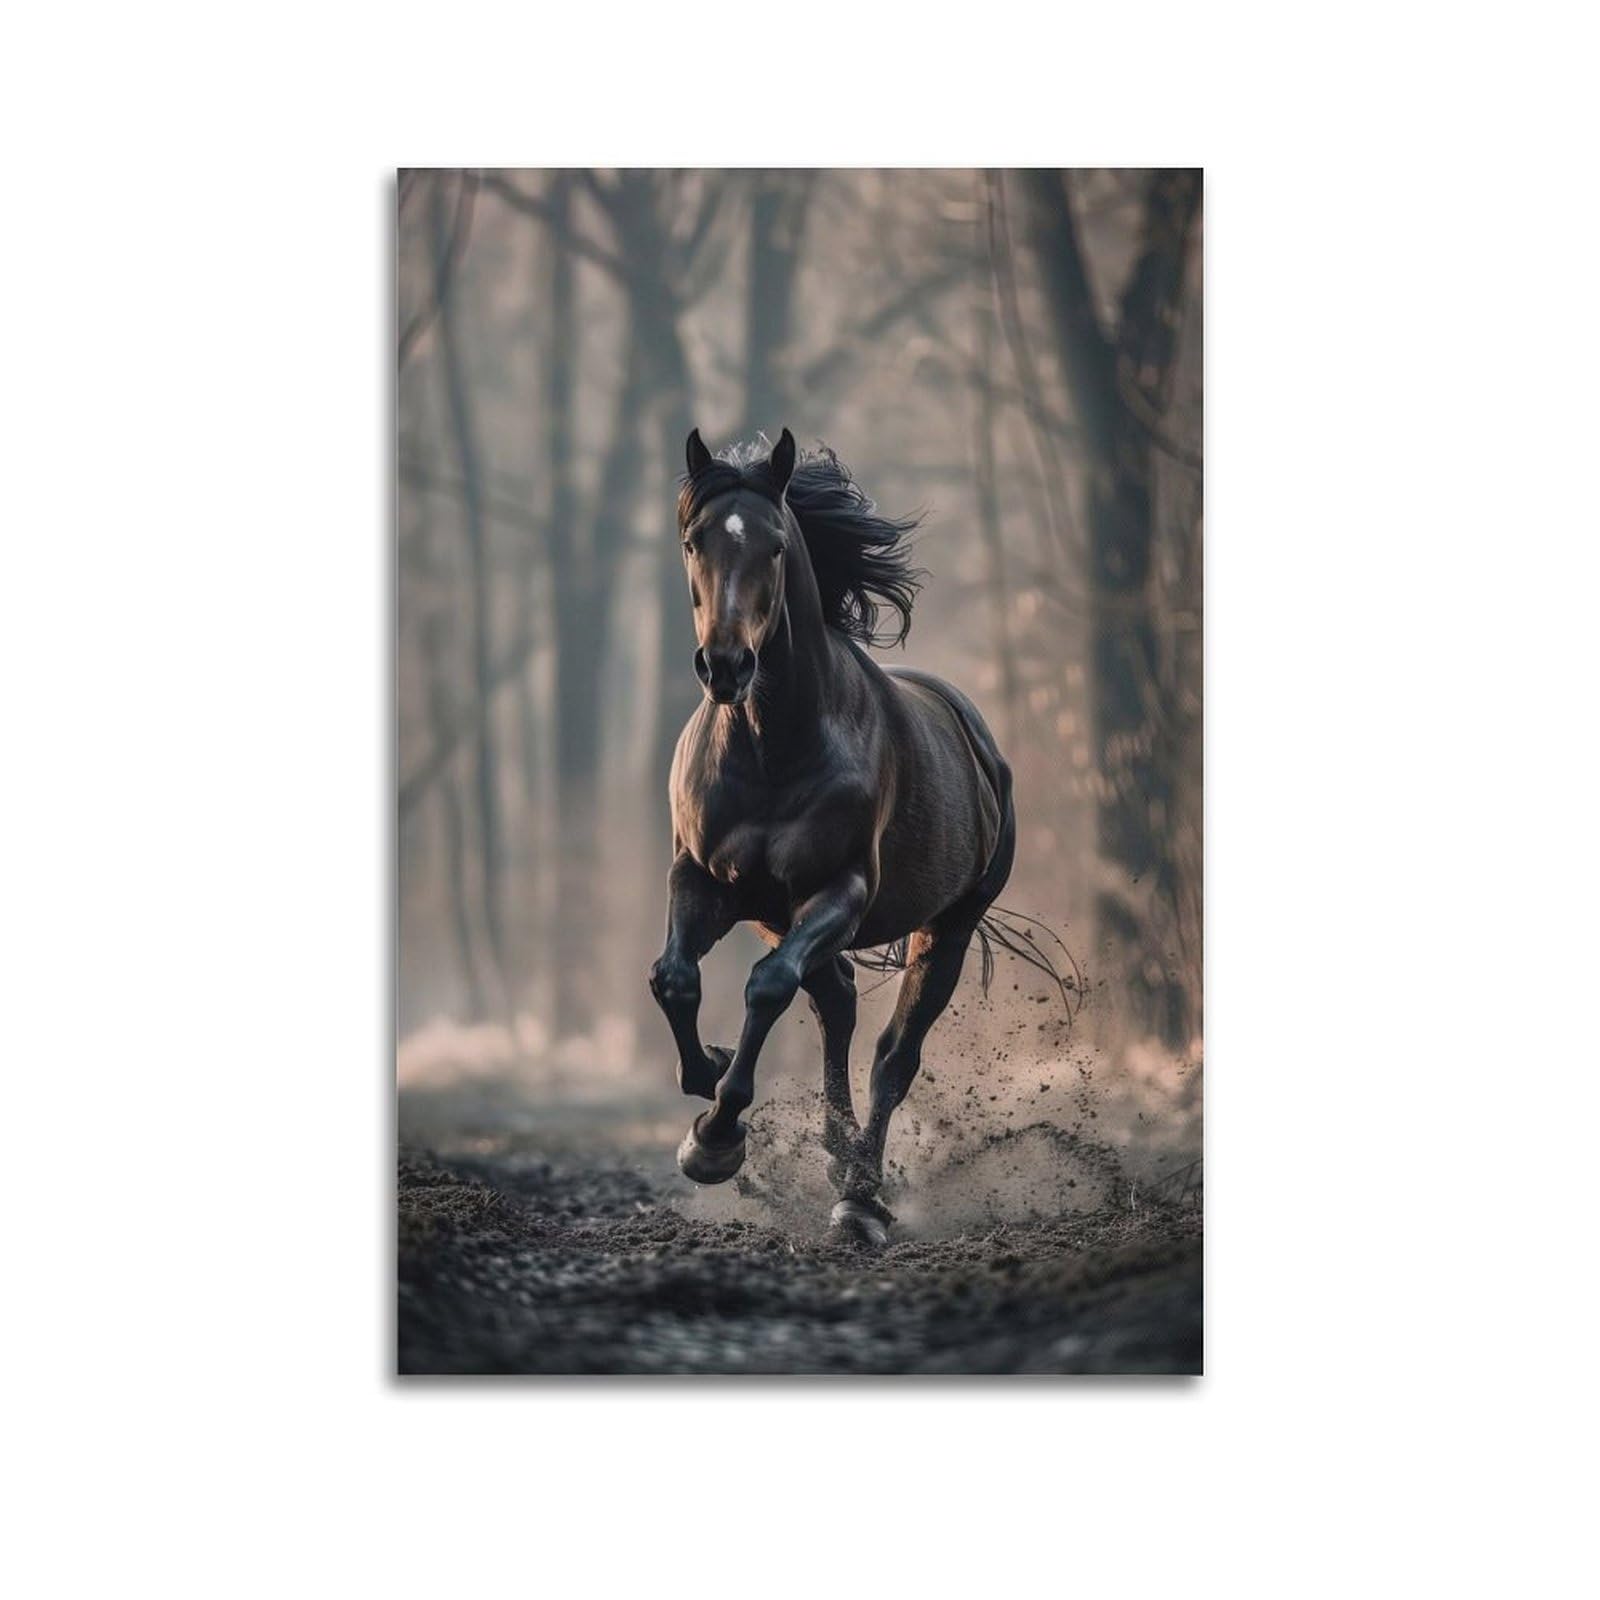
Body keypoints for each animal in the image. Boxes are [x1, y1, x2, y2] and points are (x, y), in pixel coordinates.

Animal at [647, 427, 1017, 1246]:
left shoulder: (838, 891)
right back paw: (836, 1153)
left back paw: (860, 1196)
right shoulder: (702, 879)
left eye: (777, 546)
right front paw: (707, 1083)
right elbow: (675, 978)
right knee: (837, 1004)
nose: (726, 666)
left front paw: (718, 1136)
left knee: (891, 1057)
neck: (771, 746)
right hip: (778, 916)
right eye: (693, 541)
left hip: (947, 924)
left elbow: (766, 987)